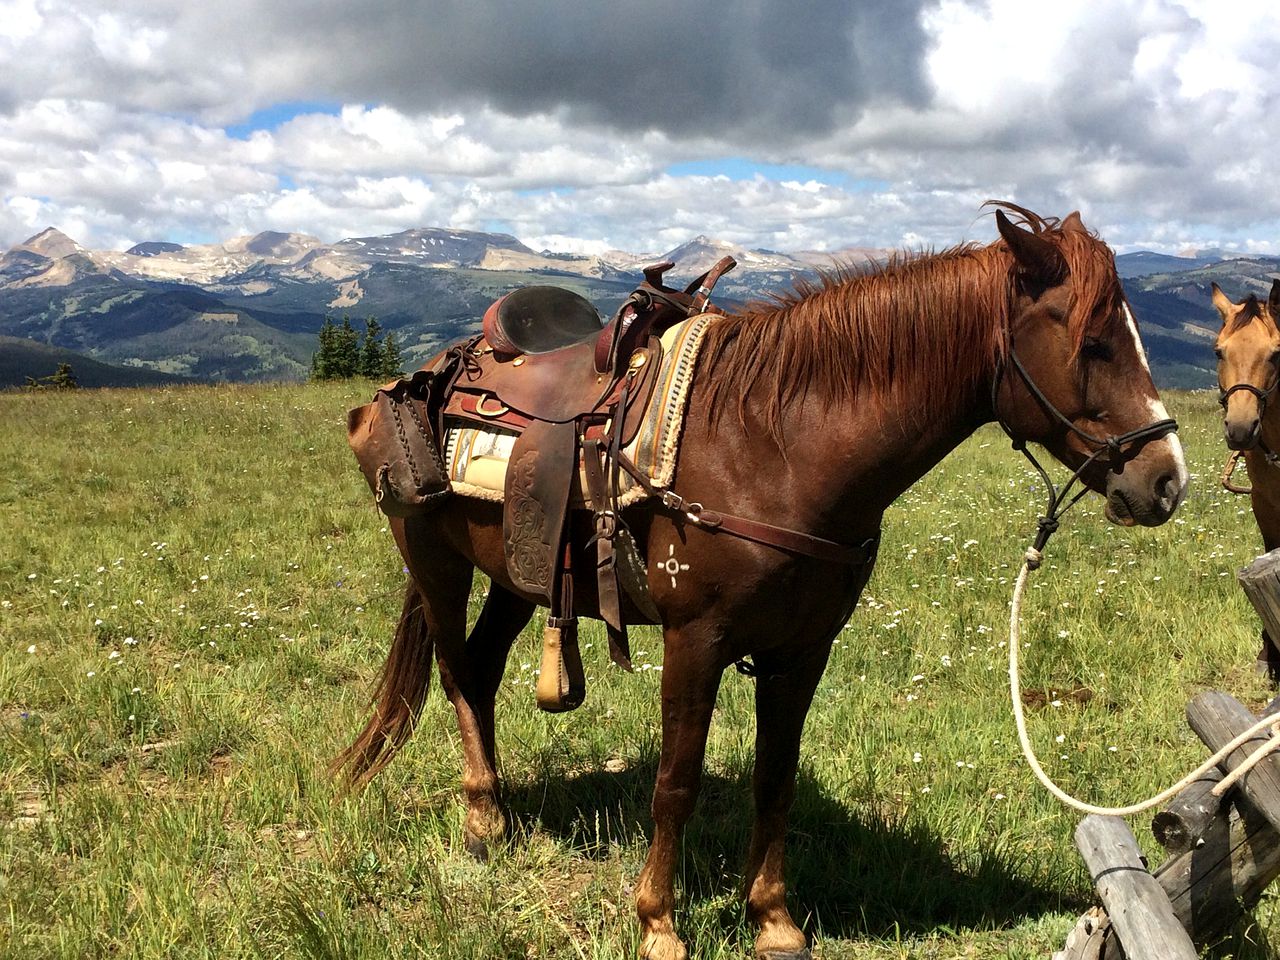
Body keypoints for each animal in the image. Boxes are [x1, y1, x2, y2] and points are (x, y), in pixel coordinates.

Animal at [335, 204, 1182, 960]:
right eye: (1095, 343)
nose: (1167, 481)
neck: (773, 446)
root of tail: (428, 373)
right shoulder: (695, 640)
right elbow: (676, 782)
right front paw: (658, 925)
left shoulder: (803, 649)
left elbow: (775, 778)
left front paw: (773, 921)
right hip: (435, 563)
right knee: (455, 673)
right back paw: (481, 823)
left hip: (518, 574)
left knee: (479, 669)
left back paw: (500, 813)